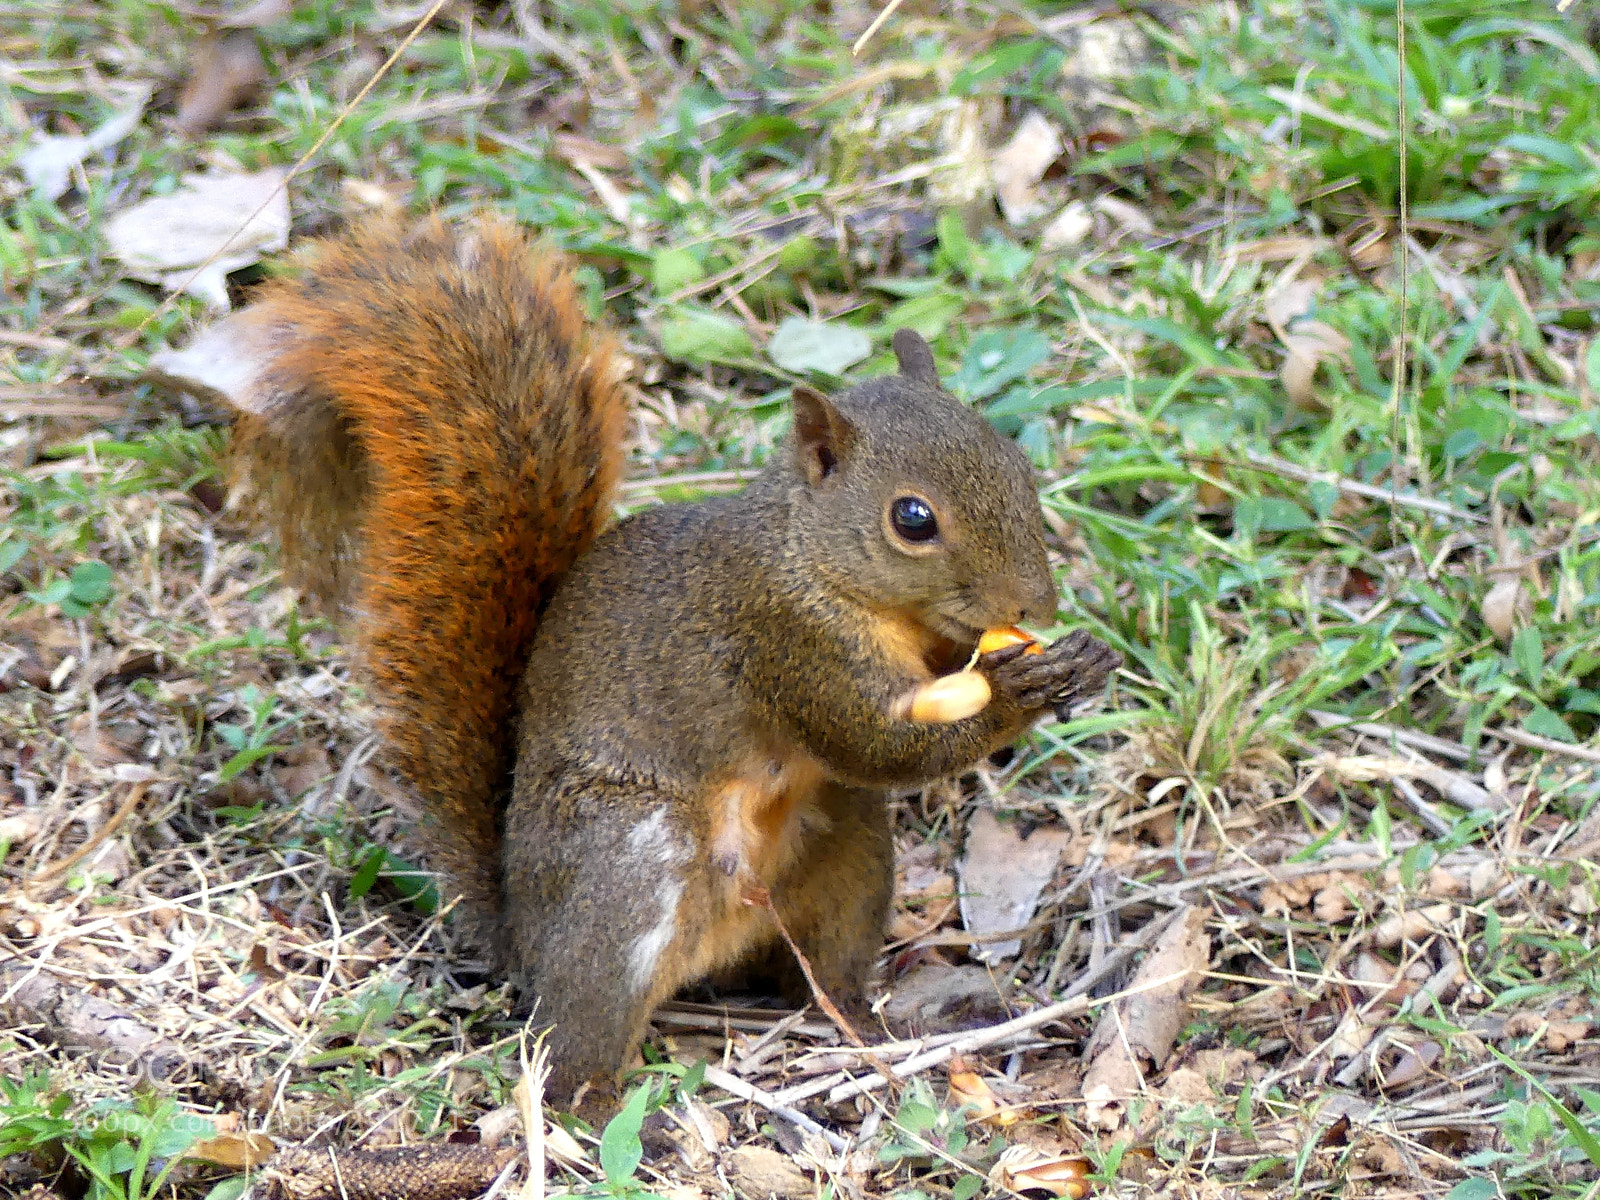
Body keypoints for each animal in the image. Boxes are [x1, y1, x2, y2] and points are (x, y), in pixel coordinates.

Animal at [179, 214, 1121, 1104]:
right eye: (913, 519)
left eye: (1017, 461)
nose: (1035, 606)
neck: (811, 555)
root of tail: (523, 935)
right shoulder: (781, 636)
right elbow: (870, 744)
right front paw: (1019, 691)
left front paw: (1074, 660)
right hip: (628, 861)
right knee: (574, 1034)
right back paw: (598, 1111)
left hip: (844, 851)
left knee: (822, 969)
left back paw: (872, 1020)